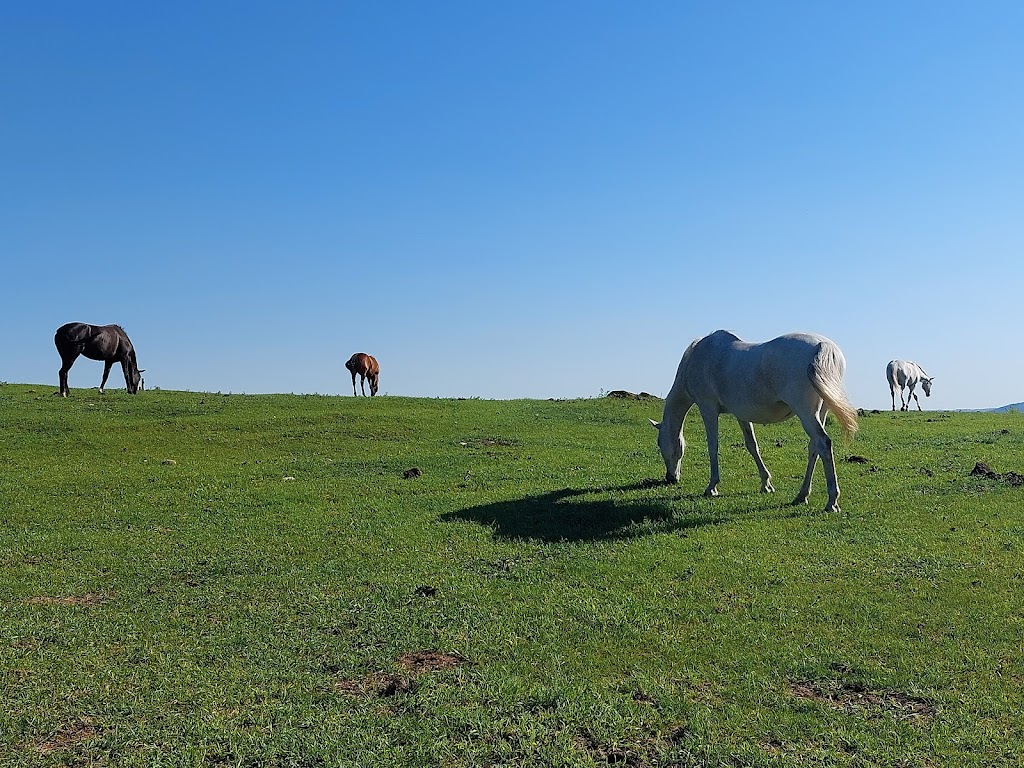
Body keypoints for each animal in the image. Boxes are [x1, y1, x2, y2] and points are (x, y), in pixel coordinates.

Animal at [651, 329, 860, 512]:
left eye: (660, 443)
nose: (670, 478)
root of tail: (822, 345)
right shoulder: (741, 415)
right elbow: (752, 446)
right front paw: (766, 483)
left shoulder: (707, 407)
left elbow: (713, 446)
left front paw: (712, 487)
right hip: (820, 413)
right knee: (814, 447)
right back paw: (802, 495)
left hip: (806, 413)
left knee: (823, 443)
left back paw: (831, 501)